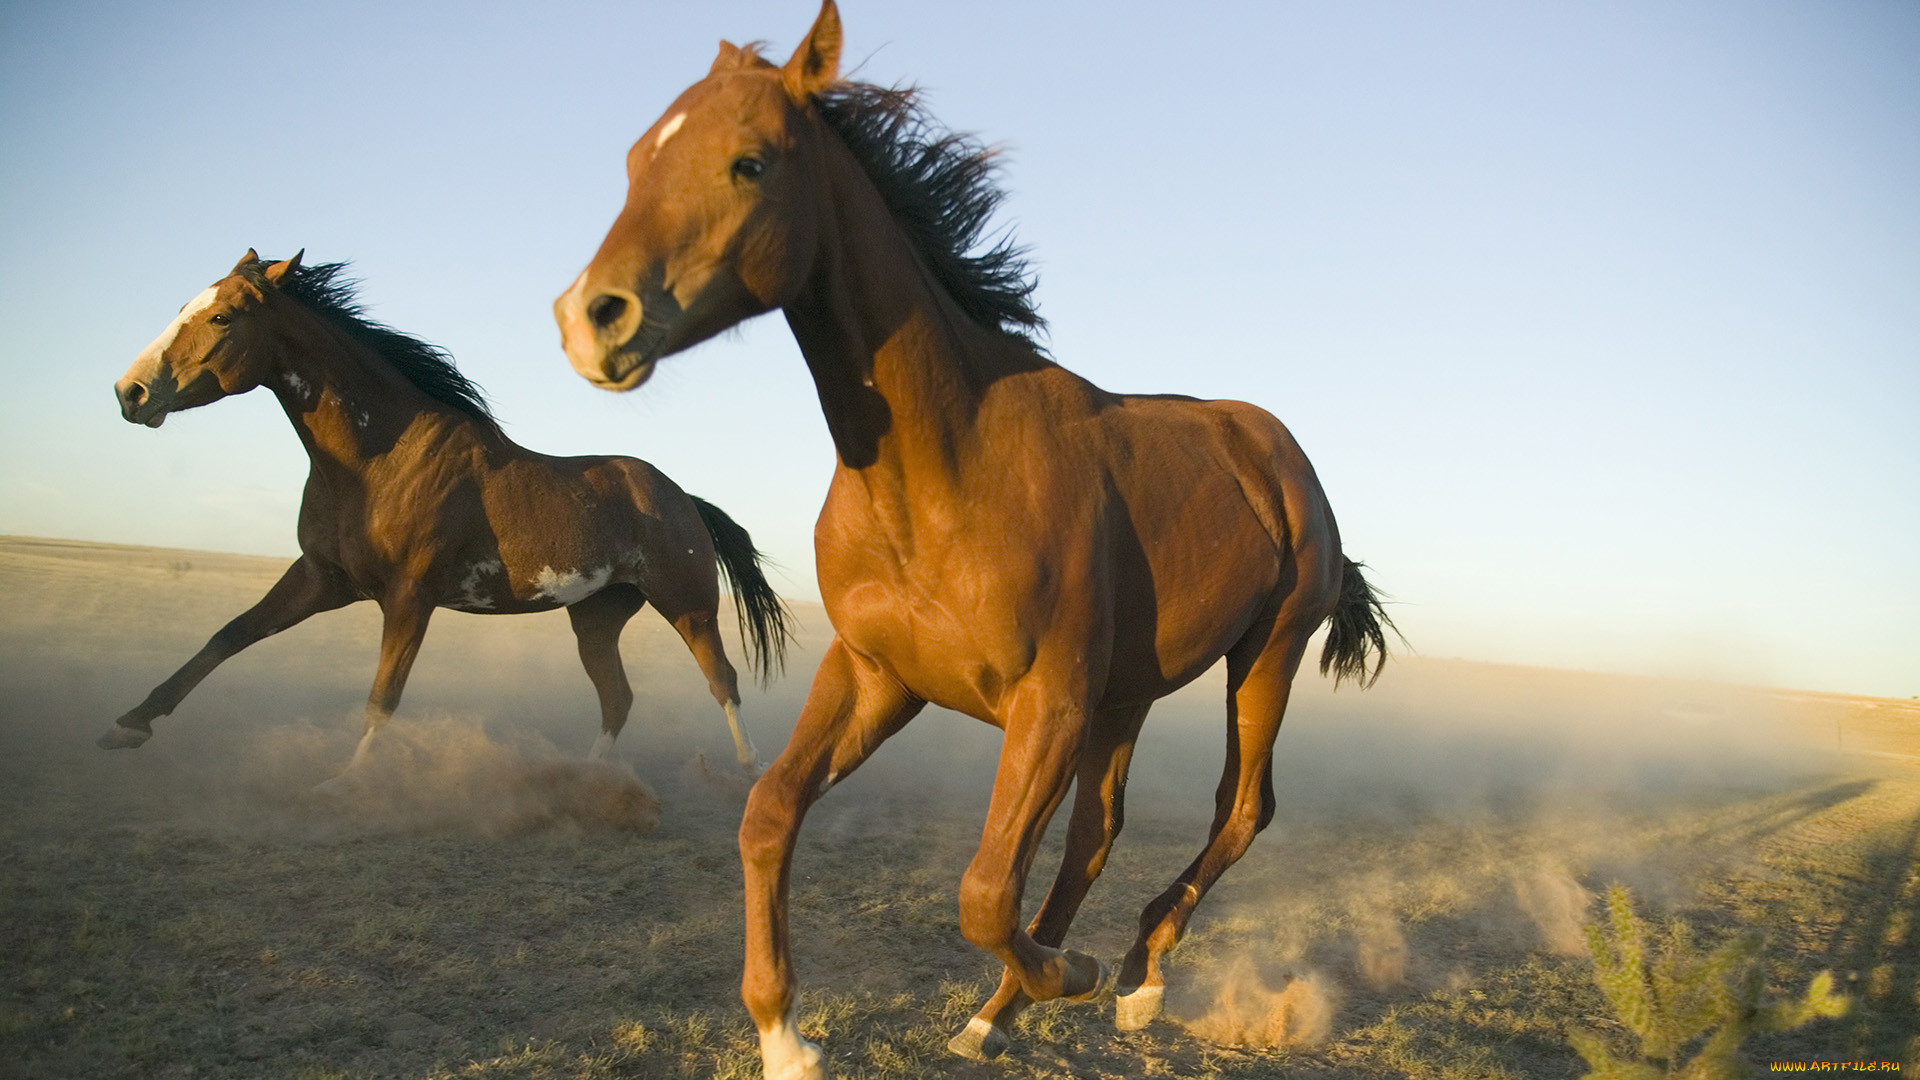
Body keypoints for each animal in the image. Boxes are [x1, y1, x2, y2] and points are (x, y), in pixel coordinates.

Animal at [101, 249, 791, 780]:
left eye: (222, 316)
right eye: (184, 306)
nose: (130, 392)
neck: (380, 457)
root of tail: (683, 497)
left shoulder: (409, 596)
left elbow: (383, 697)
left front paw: (345, 783)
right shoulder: (322, 578)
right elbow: (228, 636)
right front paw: (127, 726)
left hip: (688, 605)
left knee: (722, 680)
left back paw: (750, 771)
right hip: (596, 617)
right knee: (617, 698)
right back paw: (587, 779)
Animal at [556, 4, 1397, 1068]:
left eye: (750, 162)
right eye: (635, 159)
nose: (590, 318)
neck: (946, 469)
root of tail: (1281, 457)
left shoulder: (1047, 706)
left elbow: (986, 892)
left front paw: (1071, 973)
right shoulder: (877, 674)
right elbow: (770, 812)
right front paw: (786, 1038)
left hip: (1265, 654)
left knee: (1240, 810)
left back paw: (1134, 974)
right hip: (1127, 694)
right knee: (1097, 832)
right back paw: (1000, 1014)